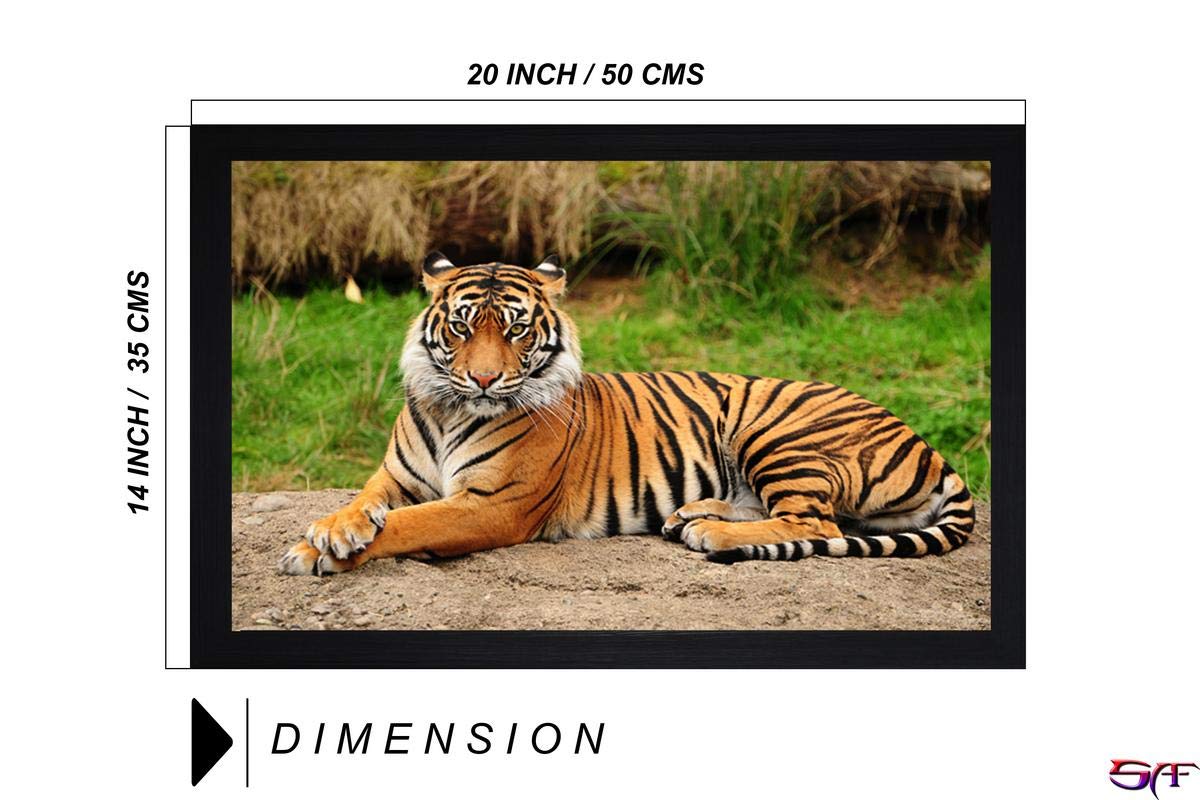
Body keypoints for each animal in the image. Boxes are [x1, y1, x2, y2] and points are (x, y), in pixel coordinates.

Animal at [278, 252, 975, 576]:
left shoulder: (493, 504)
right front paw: (330, 531)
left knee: (813, 520)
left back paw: (709, 533)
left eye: (516, 330)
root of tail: (928, 444)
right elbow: (365, 503)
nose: (483, 378)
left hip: (776, 430)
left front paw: (320, 552)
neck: (452, 410)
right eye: (462, 326)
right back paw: (694, 514)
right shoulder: (395, 477)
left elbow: (408, 525)